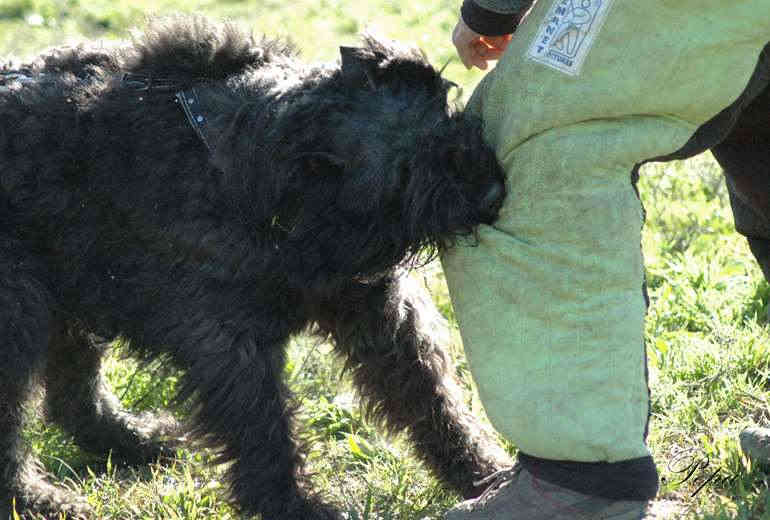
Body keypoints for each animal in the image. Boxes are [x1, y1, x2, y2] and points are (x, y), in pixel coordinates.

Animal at [1, 16, 510, 520]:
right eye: (403, 176)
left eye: (443, 121)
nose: (491, 194)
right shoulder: (228, 340)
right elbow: (263, 428)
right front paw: (294, 506)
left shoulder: (378, 311)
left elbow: (431, 399)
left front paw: (484, 473)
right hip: (20, 311)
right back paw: (41, 499)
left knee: (71, 395)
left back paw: (134, 441)